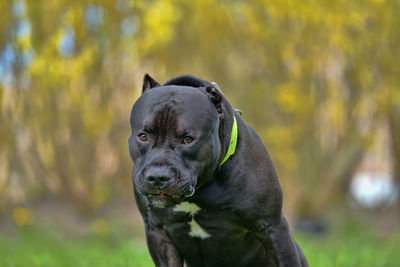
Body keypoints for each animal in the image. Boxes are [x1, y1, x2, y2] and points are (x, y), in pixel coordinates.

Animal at [130, 74, 308, 267]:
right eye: (143, 136)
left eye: (188, 139)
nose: (157, 177)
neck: (198, 191)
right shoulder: (158, 234)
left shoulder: (272, 226)